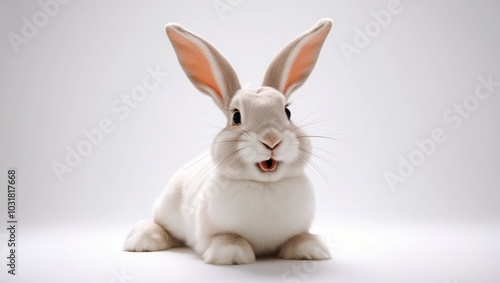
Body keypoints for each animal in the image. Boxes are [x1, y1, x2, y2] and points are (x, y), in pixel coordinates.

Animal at [122, 18, 332, 266]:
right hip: (168, 205)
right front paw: (231, 253)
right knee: (162, 226)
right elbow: (227, 237)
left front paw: (311, 249)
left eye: (287, 112)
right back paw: (142, 239)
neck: (265, 186)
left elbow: (298, 236)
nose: (271, 140)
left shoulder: (298, 226)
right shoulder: (208, 233)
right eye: (236, 117)